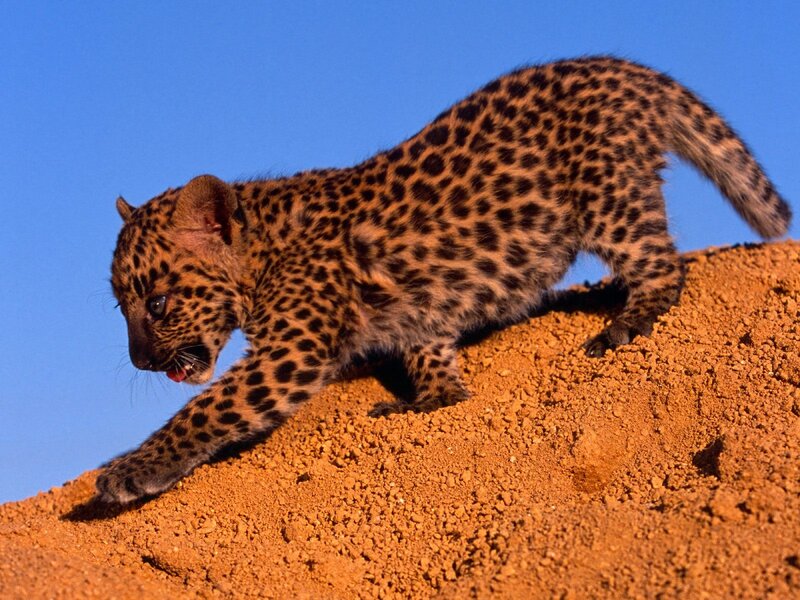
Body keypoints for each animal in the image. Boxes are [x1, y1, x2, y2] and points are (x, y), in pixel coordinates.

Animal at [97, 56, 790, 503]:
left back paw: (630, 319)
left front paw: (130, 470)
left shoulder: (291, 351)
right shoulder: (418, 315)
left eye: (157, 303)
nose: (139, 361)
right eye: (122, 306)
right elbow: (428, 355)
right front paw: (433, 397)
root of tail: (623, 68)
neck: (260, 250)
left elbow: (208, 409)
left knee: (662, 261)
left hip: (608, 196)